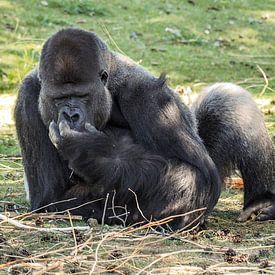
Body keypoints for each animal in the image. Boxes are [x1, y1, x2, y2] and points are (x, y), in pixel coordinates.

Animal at [15, 28, 275, 231]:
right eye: (60, 98)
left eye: (82, 96)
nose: (71, 115)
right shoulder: (28, 95)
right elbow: (49, 197)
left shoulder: (148, 96)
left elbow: (202, 176)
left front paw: (92, 154)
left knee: (227, 100)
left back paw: (263, 202)